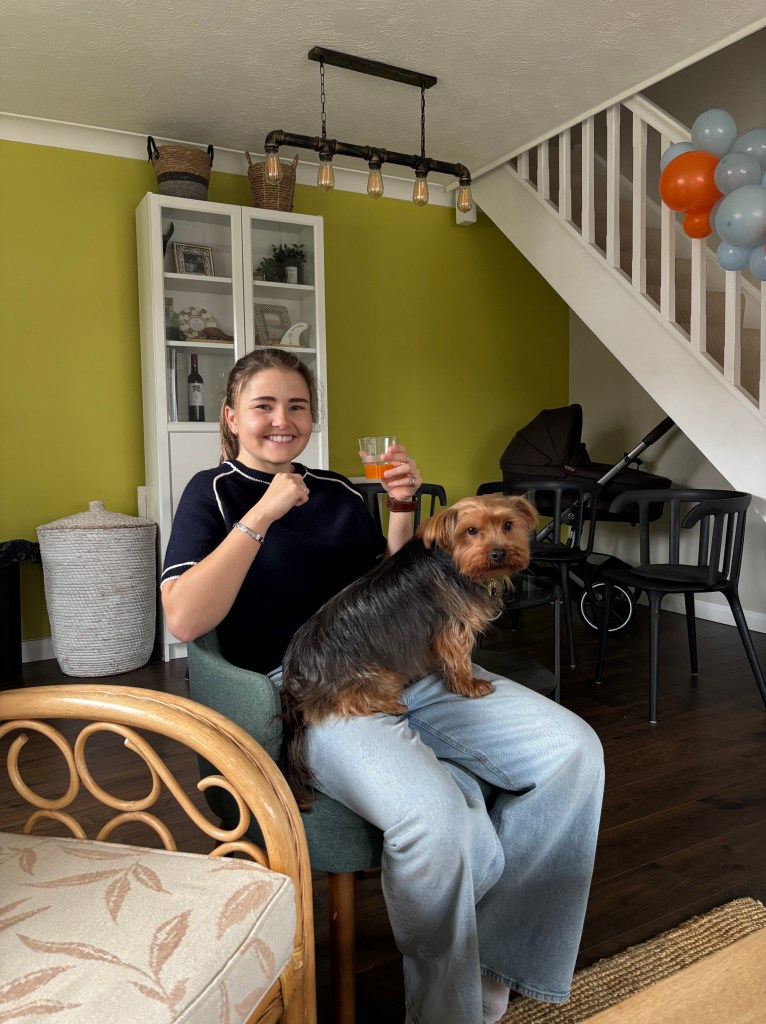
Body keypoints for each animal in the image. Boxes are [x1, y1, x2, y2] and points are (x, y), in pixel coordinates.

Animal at [279, 493, 537, 808]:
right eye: (471, 531)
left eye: (508, 525)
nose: (498, 554)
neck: (455, 560)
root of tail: (293, 676)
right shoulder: (453, 628)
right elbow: (459, 659)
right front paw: (468, 685)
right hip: (380, 676)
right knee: (346, 701)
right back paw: (391, 704)